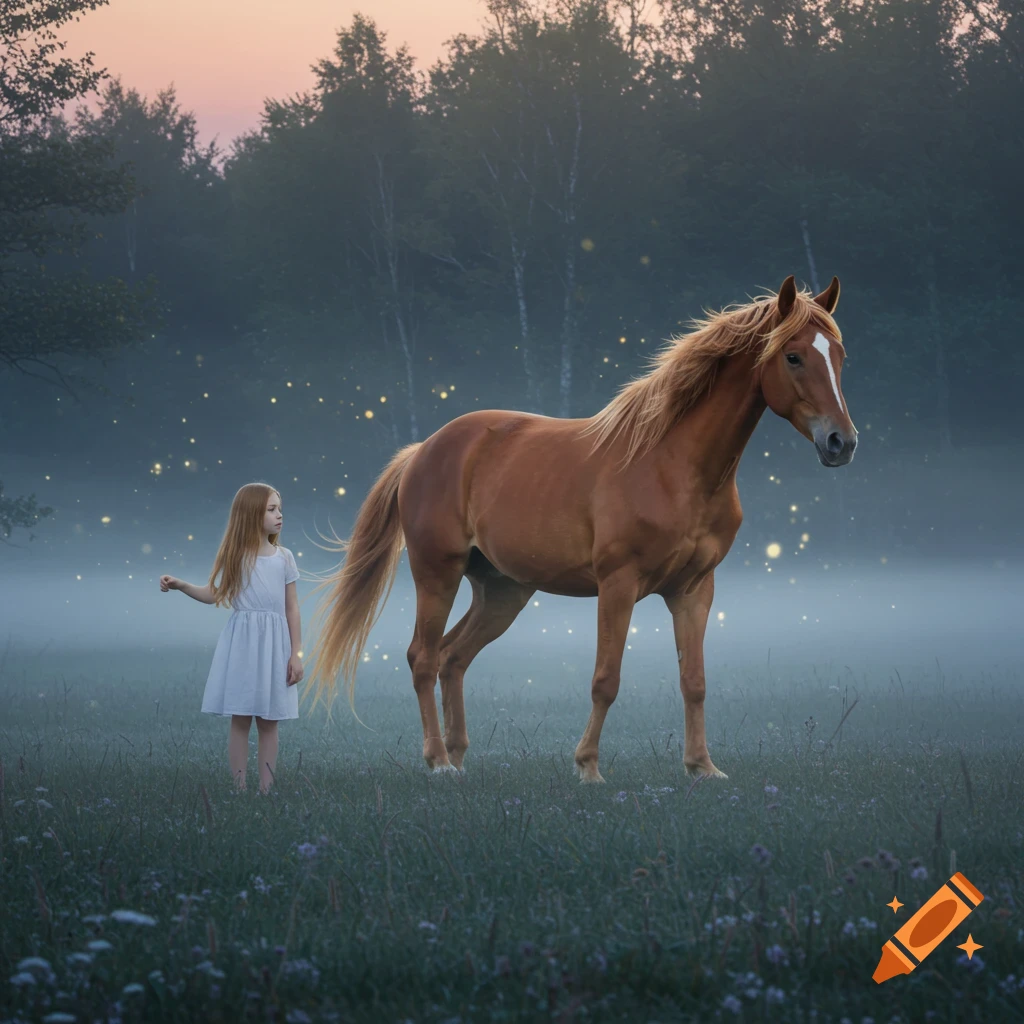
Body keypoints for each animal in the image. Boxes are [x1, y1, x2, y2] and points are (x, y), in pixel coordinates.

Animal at [304, 274, 857, 783]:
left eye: (839, 355)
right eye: (793, 356)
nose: (841, 442)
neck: (673, 465)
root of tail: (424, 450)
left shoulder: (694, 590)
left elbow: (694, 681)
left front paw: (702, 767)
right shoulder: (618, 584)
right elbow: (605, 679)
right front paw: (587, 766)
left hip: (502, 591)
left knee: (452, 657)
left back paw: (459, 756)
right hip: (437, 573)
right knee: (422, 656)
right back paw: (438, 761)